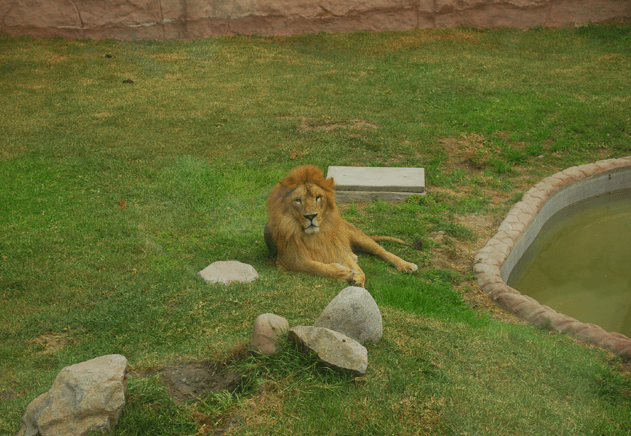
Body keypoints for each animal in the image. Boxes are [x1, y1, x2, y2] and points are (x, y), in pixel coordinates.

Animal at [264, 165, 419, 287]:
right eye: (298, 200)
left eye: (317, 197)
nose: (310, 216)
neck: (316, 235)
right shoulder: (289, 258)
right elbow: (316, 266)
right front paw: (346, 273)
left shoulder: (337, 248)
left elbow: (358, 269)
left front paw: (357, 277)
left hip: (359, 237)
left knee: (381, 251)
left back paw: (407, 265)